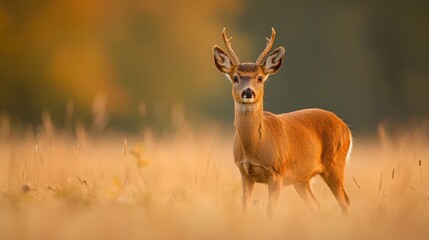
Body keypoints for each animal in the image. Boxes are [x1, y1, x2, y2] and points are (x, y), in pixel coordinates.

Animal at [211, 27, 352, 216]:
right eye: (235, 77)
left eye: (260, 78)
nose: (248, 92)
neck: (255, 146)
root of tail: (346, 127)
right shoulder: (244, 173)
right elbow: (244, 207)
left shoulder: (277, 173)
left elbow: (271, 210)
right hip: (302, 178)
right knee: (316, 205)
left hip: (335, 163)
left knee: (345, 202)